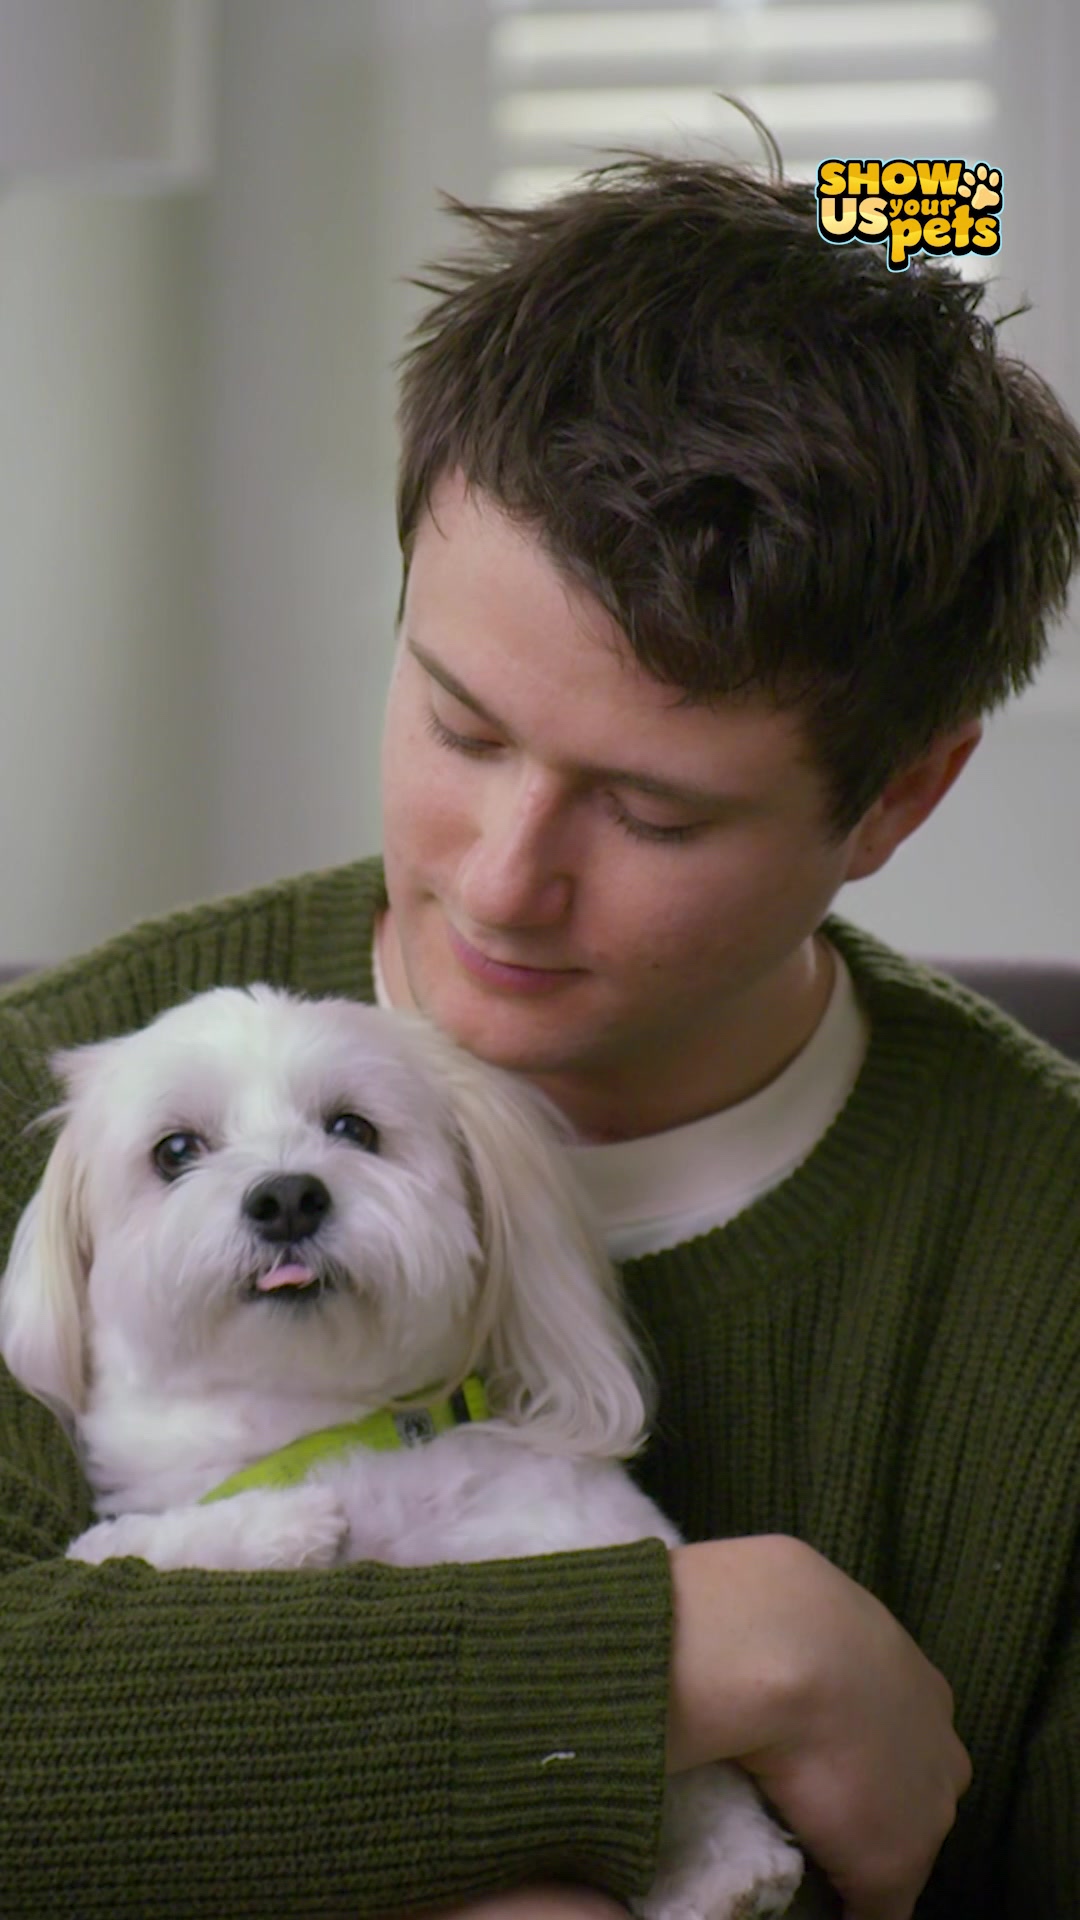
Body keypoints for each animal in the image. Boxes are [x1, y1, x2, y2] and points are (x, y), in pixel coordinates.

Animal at [0, 985, 803, 1919]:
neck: (322, 1422)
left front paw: (729, 1863)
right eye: (175, 1151)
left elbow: (698, 1768)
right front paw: (293, 1526)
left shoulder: (581, 1529)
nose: (287, 1197)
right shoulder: (139, 1525)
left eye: (354, 1129)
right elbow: (125, 1545)